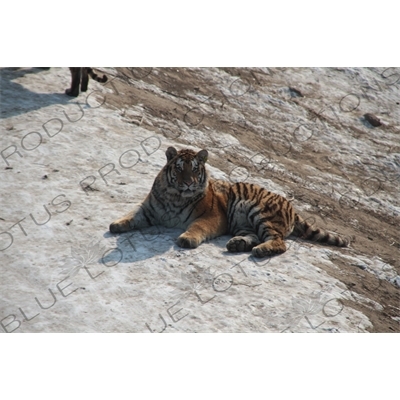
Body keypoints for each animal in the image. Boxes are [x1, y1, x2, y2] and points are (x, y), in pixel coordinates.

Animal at [108, 147, 348, 256]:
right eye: (180, 168)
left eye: (195, 170)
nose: (189, 184)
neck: (175, 196)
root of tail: (291, 205)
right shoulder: (149, 208)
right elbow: (132, 215)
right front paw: (116, 224)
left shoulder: (213, 216)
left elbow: (197, 227)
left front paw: (187, 239)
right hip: (243, 223)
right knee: (253, 236)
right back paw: (237, 244)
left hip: (260, 212)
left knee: (280, 242)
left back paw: (259, 251)